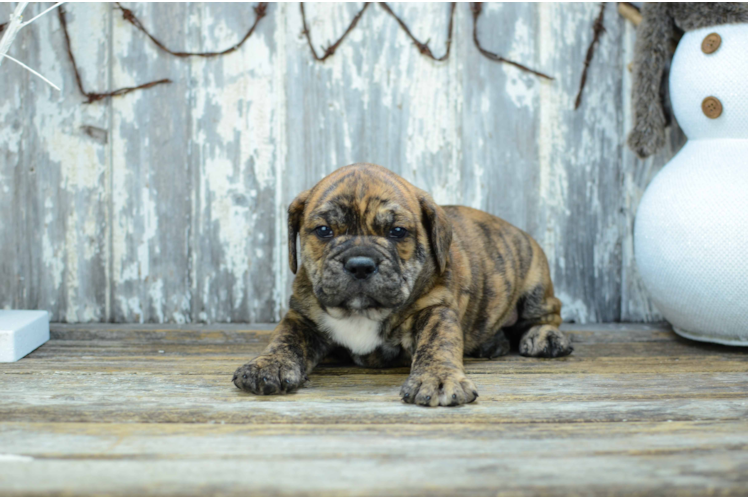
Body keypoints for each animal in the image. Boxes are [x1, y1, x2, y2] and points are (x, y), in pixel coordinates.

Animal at [234, 164, 572, 406]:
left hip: (535, 282)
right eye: (324, 230)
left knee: (545, 314)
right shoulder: (302, 317)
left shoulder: (435, 310)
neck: (361, 313)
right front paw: (267, 365)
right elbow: (284, 339)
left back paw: (545, 337)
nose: (360, 264)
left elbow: (437, 344)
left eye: (397, 231)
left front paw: (437, 379)